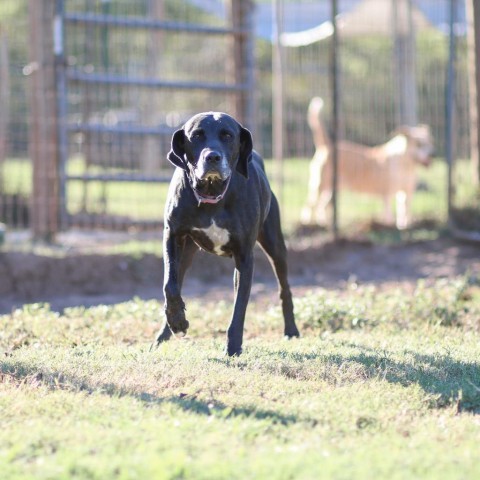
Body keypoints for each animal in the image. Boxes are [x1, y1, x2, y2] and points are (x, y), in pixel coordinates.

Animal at [156, 110, 300, 354]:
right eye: (197, 135)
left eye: (228, 136)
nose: (212, 157)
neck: (212, 193)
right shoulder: (173, 237)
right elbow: (169, 285)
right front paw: (177, 322)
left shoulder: (244, 257)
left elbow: (239, 306)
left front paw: (233, 347)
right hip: (186, 253)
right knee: (177, 280)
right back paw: (164, 335)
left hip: (275, 245)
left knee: (284, 288)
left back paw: (291, 330)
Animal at [304, 97, 436, 229]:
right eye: (419, 144)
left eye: (430, 142)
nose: (432, 154)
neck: (406, 165)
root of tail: (328, 146)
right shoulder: (387, 194)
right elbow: (389, 214)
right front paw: (390, 226)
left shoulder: (406, 193)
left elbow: (405, 212)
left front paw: (404, 226)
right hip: (319, 185)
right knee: (310, 205)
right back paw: (308, 223)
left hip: (332, 189)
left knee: (322, 206)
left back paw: (323, 223)